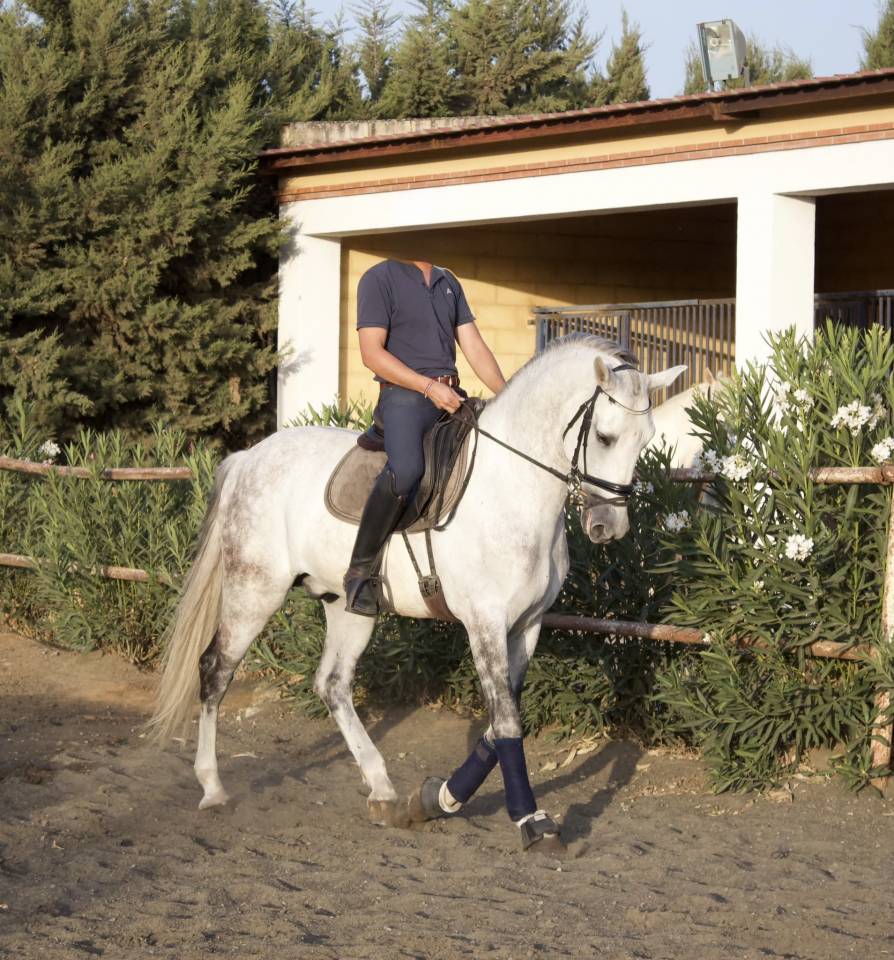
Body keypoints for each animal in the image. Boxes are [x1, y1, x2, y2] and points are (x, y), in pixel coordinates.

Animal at [148, 335, 685, 851]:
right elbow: (507, 723)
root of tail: (249, 458)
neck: (513, 488)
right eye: (604, 437)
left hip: (348, 607)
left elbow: (499, 720)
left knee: (332, 683)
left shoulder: (527, 625)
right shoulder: (484, 622)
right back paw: (213, 787)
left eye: (646, 440)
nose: (607, 528)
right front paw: (530, 822)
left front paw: (435, 800)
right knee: (216, 670)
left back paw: (383, 788)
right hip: (254, 589)